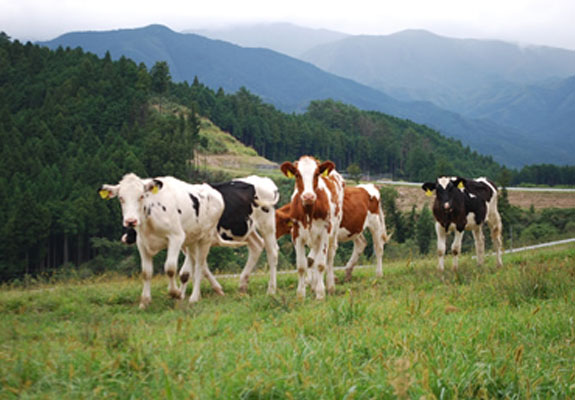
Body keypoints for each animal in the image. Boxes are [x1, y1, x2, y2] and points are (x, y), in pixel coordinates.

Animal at [282, 155, 344, 298]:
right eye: (297, 174)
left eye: (316, 174)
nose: (308, 196)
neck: (309, 212)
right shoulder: (296, 235)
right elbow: (301, 265)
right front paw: (301, 294)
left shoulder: (324, 233)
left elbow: (321, 264)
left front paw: (320, 294)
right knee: (311, 259)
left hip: (333, 233)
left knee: (329, 258)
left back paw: (330, 286)